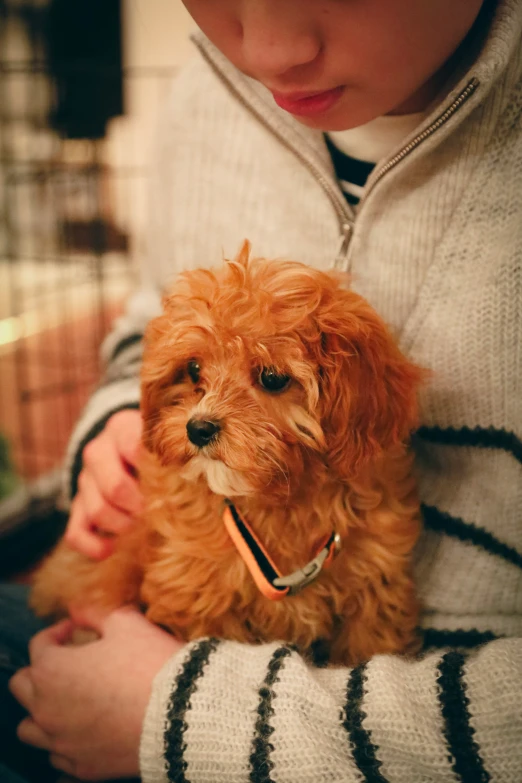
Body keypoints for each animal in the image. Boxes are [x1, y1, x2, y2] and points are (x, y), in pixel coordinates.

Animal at [31, 242, 422, 664]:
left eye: (272, 377)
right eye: (193, 369)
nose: (198, 428)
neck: (280, 505)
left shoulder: (375, 589)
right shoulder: (194, 594)